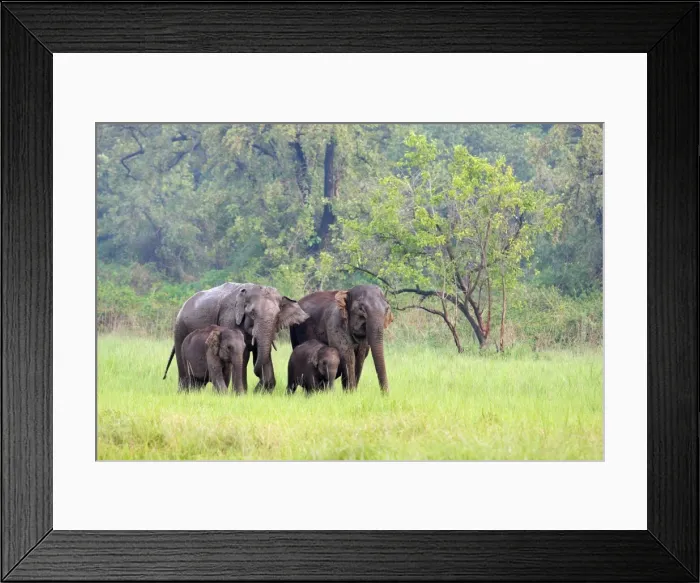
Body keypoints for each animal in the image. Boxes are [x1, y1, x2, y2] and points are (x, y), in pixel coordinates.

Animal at [163, 282, 309, 392]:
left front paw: (259, 392)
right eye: (252, 313)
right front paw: (243, 392)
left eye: (278, 315)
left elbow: (264, 352)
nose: (257, 375)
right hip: (180, 330)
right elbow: (244, 355)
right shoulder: (229, 318)